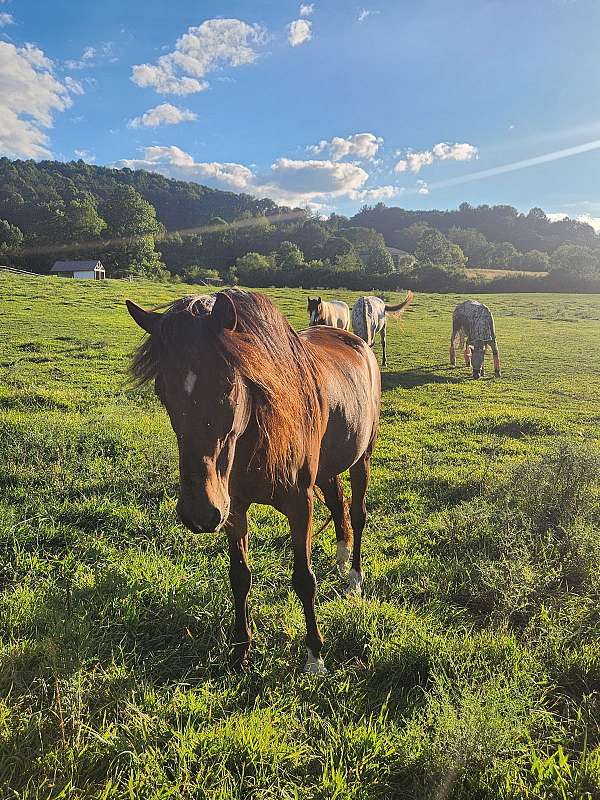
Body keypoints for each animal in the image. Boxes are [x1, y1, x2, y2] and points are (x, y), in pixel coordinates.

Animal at [126, 290, 380, 676]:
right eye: (162, 391)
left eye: (229, 385)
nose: (199, 512)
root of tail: (357, 342)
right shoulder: (232, 508)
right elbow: (240, 576)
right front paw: (241, 651)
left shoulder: (299, 504)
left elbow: (304, 579)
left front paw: (315, 656)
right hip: (327, 468)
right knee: (340, 506)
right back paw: (341, 558)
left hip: (362, 458)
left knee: (359, 513)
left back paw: (354, 579)